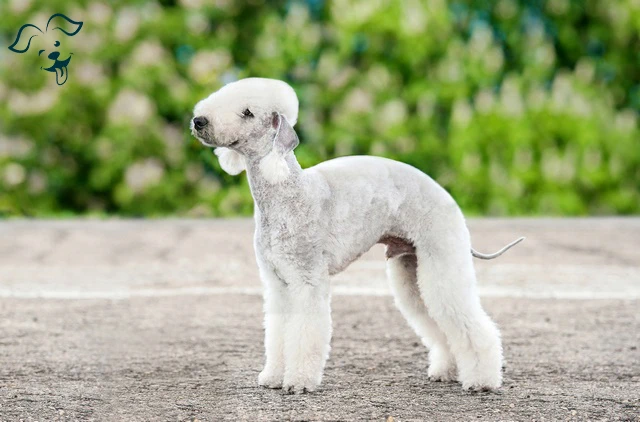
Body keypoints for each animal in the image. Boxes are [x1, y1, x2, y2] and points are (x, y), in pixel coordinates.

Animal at [192, 77, 524, 394]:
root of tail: (446, 196)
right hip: (412, 269)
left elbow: (305, 333)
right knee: (435, 321)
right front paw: (273, 377)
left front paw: (299, 381)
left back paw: (482, 380)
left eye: (248, 112)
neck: (286, 192)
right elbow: (278, 333)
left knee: (471, 323)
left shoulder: (307, 280)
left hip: (442, 260)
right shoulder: (278, 284)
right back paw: (448, 371)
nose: (198, 121)